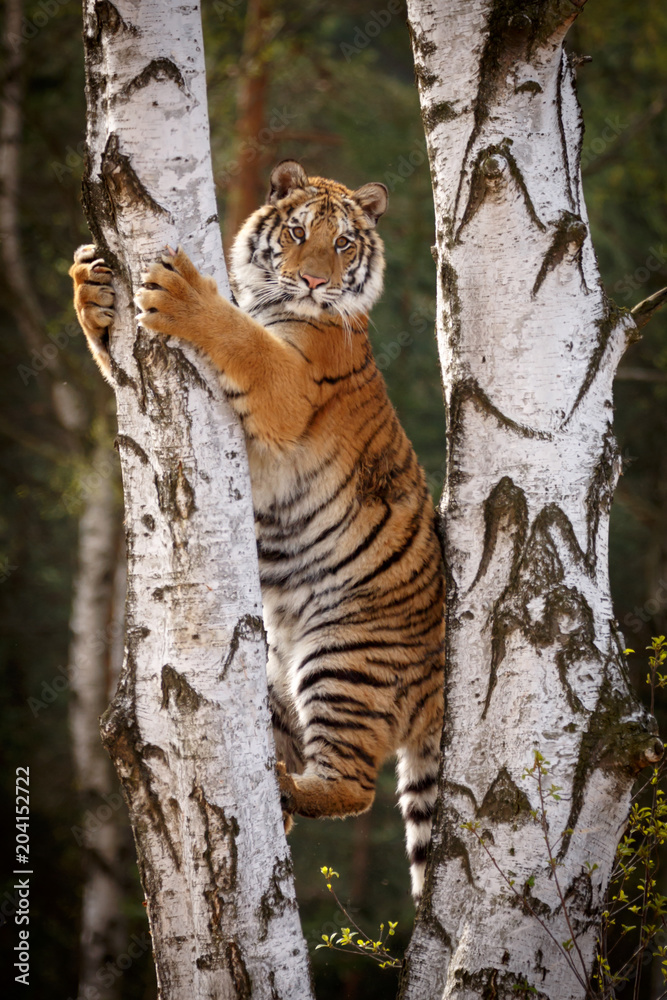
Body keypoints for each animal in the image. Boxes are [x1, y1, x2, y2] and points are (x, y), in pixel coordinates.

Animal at [70, 159, 445, 899]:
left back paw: (287, 787)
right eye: (298, 232)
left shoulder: (289, 390)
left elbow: (245, 341)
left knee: (355, 787)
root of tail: (440, 688)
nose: (315, 282)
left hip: (344, 656)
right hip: (275, 675)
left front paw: (184, 294)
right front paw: (90, 281)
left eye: (344, 244)